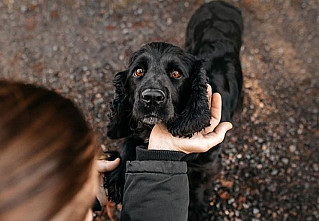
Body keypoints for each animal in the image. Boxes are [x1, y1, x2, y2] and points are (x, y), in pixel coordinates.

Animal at [106, 1, 244, 219]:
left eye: (176, 73)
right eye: (138, 71)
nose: (152, 98)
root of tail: (221, 4)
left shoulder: (206, 164)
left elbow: (197, 187)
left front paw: (194, 210)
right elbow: (129, 143)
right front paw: (118, 177)